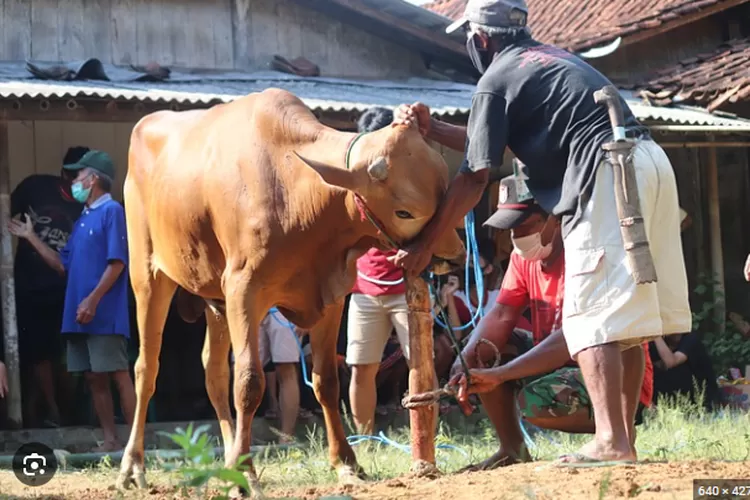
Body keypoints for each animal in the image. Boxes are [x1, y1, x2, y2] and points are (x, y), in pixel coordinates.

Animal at [116, 88, 464, 494]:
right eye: (404, 211)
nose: (456, 255)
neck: (296, 187)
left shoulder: (330, 298)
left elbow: (326, 380)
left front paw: (346, 463)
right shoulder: (243, 291)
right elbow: (249, 382)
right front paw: (246, 476)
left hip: (215, 301)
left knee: (214, 374)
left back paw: (228, 458)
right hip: (149, 276)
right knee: (147, 368)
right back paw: (132, 467)